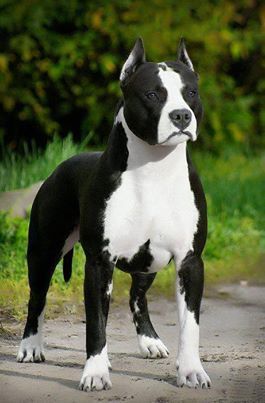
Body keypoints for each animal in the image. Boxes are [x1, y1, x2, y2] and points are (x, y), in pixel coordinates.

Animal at [16, 38, 210, 392]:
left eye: (190, 92)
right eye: (153, 94)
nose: (181, 115)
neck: (155, 168)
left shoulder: (189, 262)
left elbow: (190, 324)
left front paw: (191, 370)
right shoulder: (99, 263)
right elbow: (95, 323)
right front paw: (94, 373)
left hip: (147, 264)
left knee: (137, 296)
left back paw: (150, 341)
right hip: (43, 251)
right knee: (37, 297)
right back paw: (31, 346)